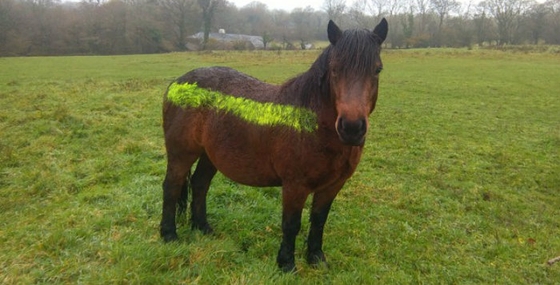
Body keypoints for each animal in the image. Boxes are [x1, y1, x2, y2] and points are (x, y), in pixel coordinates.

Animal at [160, 18, 388, 270]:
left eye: (377, 70)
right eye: (335, 69)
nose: (351, 128)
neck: (311, 124)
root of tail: (177, 83)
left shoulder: (332, 185)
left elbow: (319, 220)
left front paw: (316, 258)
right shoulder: (295, 185)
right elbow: (291, 224)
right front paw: (286, 264)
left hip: (209, 156)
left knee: (200, 185)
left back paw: (203, 228)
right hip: (181, 154)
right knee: (171, 187)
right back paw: (169, 235)